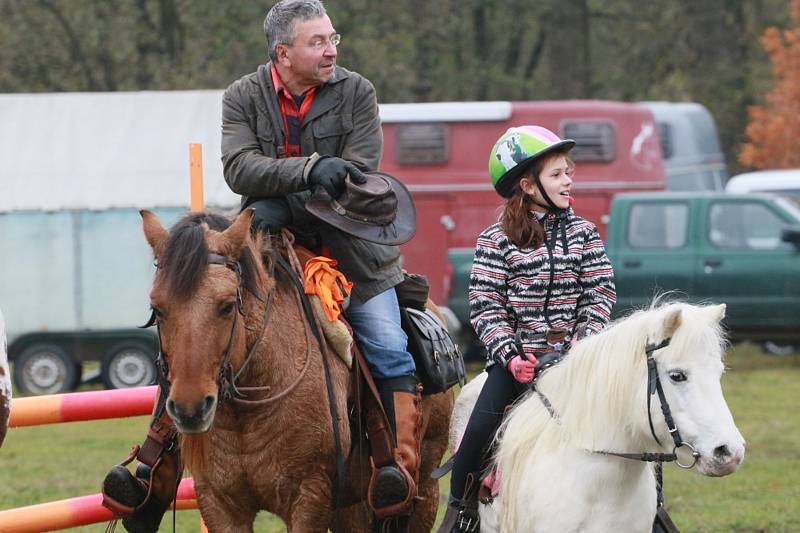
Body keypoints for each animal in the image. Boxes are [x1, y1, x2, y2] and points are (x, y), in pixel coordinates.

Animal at [141, 209, 454, 532]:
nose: (190, 409)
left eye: (226, 306)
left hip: (424, 486)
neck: (247, 412)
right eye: (158, 309)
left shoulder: (310, 495)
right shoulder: (218, 502)